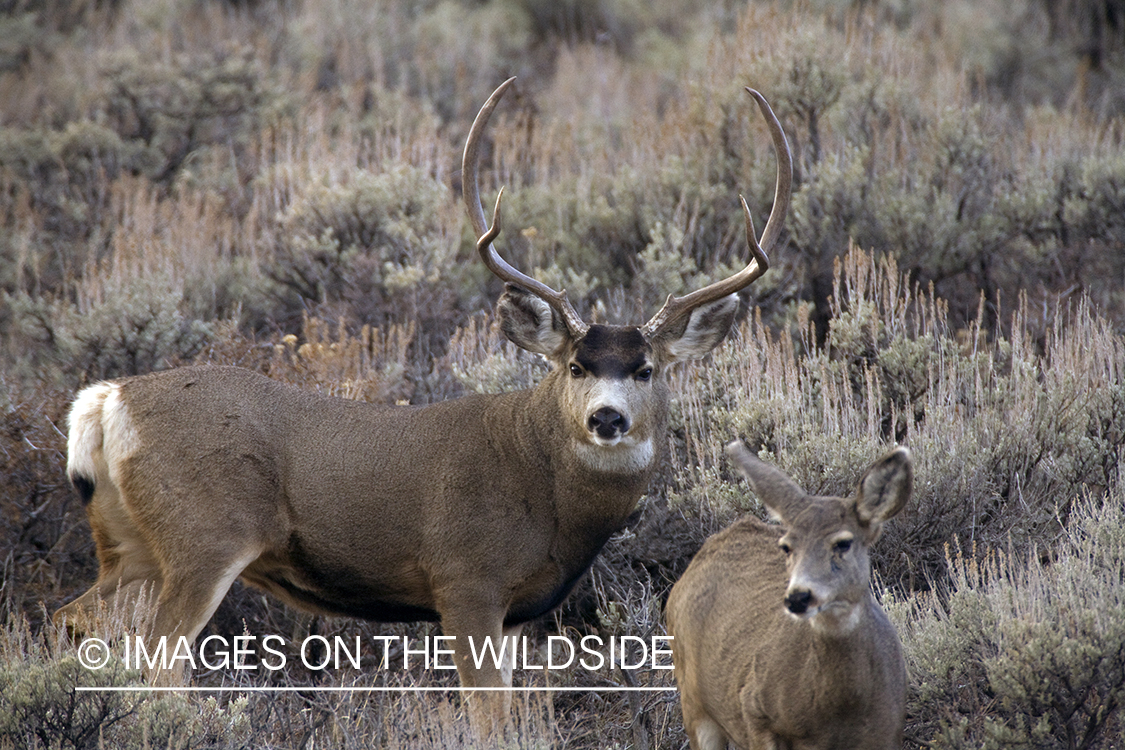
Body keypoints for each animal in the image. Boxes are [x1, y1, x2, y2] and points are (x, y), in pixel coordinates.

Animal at [54, 79, 791, 727]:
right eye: (576, 365)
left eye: (645, 369)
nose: (605, 417)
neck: (546, 492)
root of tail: (108, 399)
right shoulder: (465, 580)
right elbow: (487, 716)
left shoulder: (516, 613)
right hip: (205, 534)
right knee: (158, 658)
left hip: (128, 541)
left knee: (76, 618)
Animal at [666, 441, 912, 750]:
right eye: (786, 547)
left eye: (843, 543)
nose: (798, 597)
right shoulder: (755, 712)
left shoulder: (888, 731)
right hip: (693, 702)